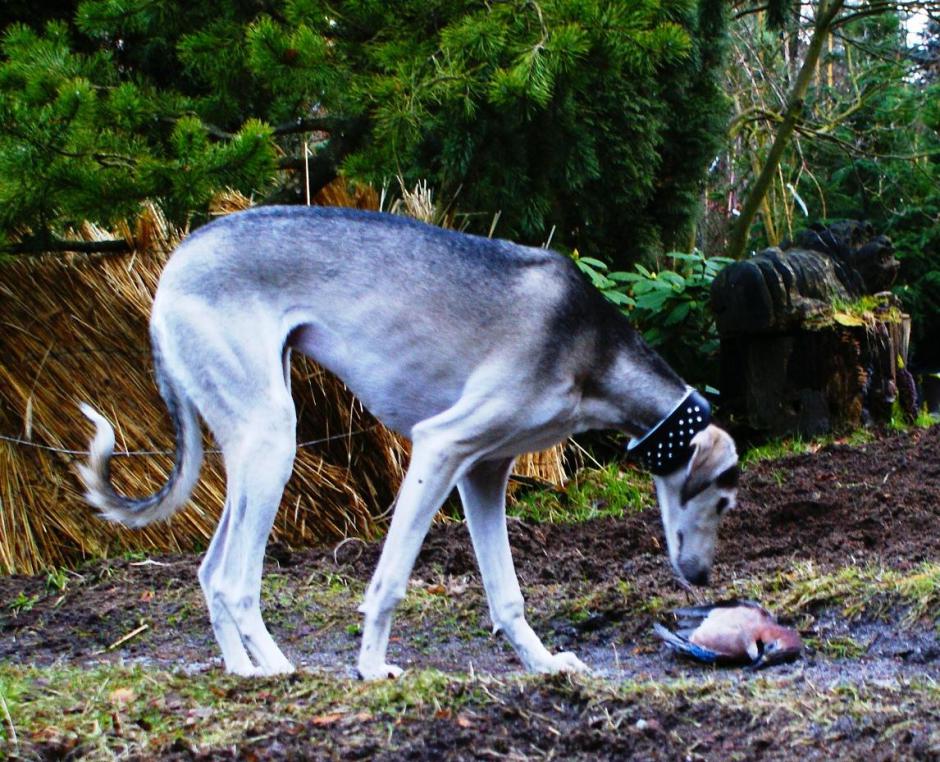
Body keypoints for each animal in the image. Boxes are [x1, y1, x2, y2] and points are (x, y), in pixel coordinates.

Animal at [79, 206, 740, 676]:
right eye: (725, 501)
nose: (703, 578)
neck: (592, 348)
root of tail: (176, 262)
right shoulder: (441, 446)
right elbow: (390, 580)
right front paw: (371, 669)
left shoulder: (485, 473)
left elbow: (507, 594)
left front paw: (544, 663)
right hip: (272, 440)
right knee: (235, 582)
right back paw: (280, 667)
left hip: (249, 452)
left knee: (211, 570)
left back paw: (245, 671)